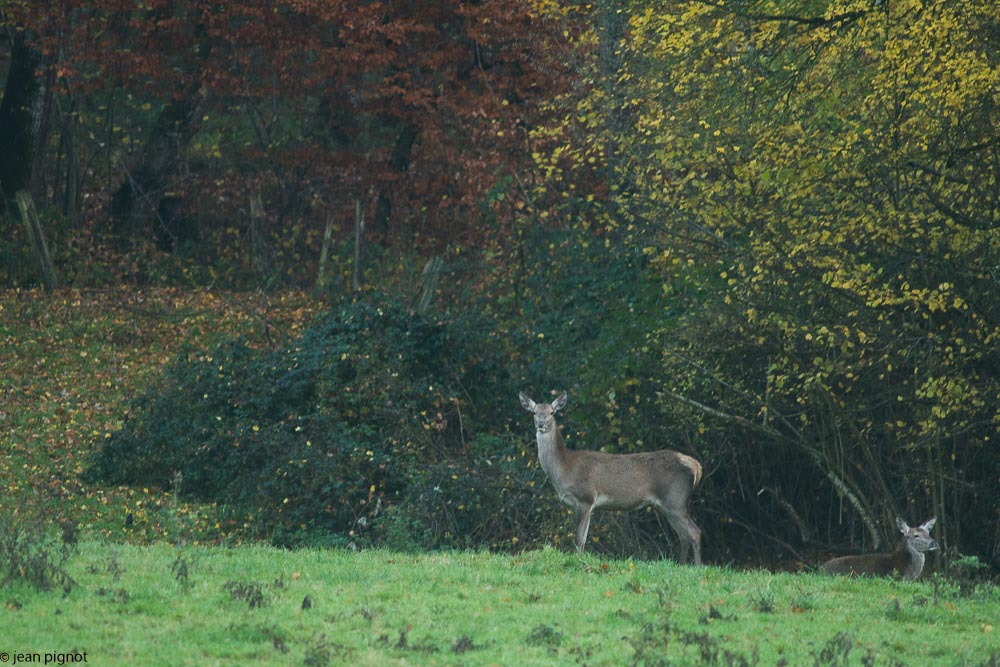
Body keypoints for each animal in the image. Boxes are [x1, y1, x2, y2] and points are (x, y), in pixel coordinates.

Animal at [524, 392, 704, 564]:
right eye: (534, 412)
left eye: (552, 412)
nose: (540, 424)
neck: (564, 467)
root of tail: (696, 465)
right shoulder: (586, 504)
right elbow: (583, 538)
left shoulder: (586, 497)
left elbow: (579, 539)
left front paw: (577, 561)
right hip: (667, 505)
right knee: (683, 535)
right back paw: (681, 564)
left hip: (675, 500)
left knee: (694, 532)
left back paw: (697, 565)